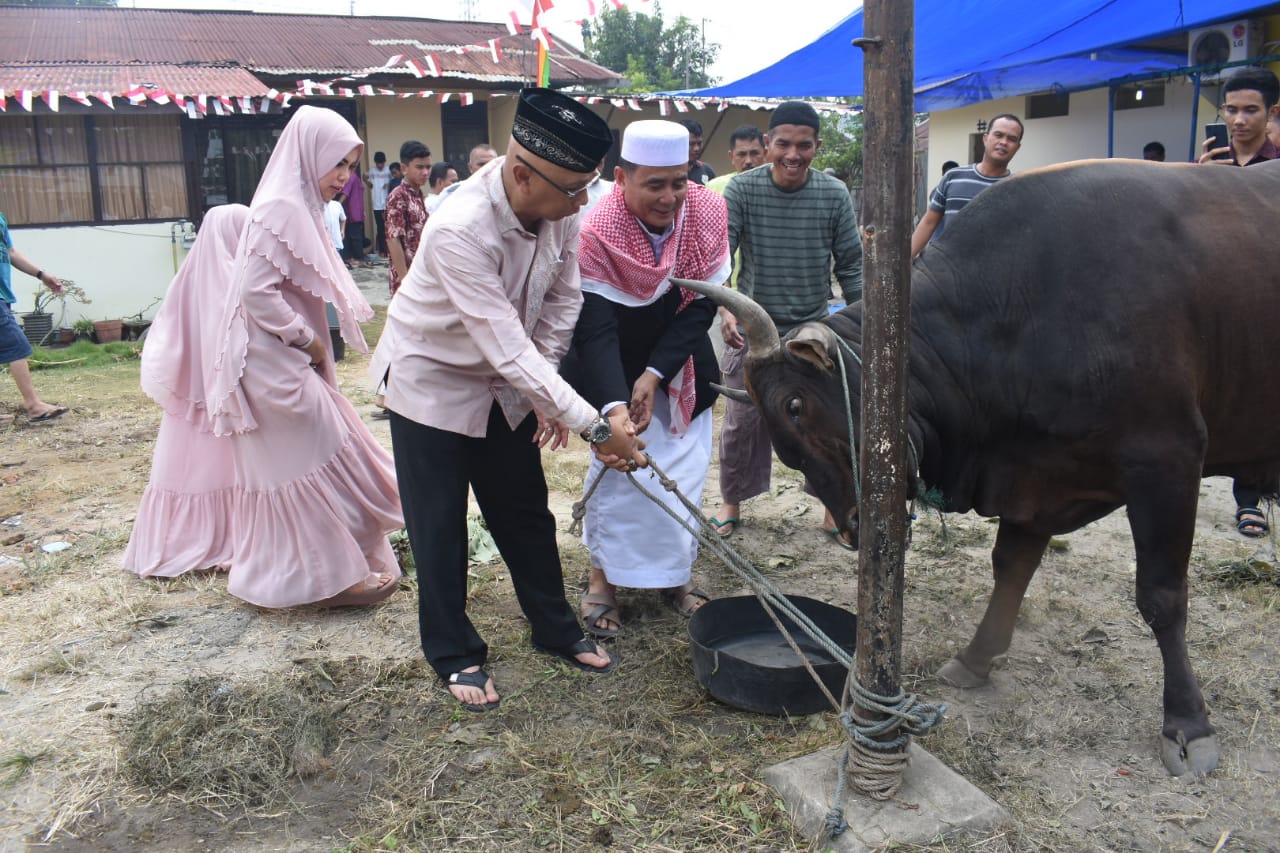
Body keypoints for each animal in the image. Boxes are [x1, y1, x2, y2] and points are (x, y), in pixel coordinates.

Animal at [686, 156, 1280, 773]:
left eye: (795, 405)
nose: (853, 526)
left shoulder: (1167, 460)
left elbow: (1161, 597)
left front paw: (1187, 721)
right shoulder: (1036, 477)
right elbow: (1010, 567)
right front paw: (977, 657)